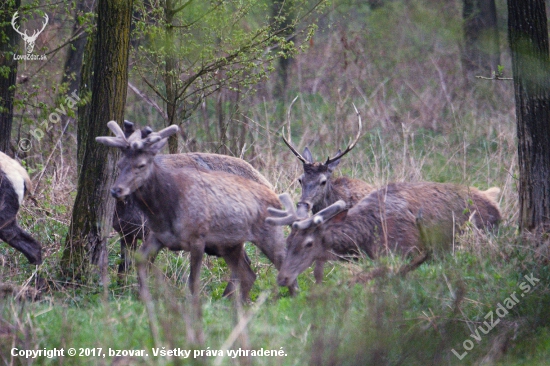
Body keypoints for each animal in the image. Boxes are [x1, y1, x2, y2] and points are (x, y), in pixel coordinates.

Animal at [99, 121, 298, 298]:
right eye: (120, 164)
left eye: (140, 165)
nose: (117, 191)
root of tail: (268, 184)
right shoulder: (127, 233)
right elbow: (123, 267)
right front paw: (123, 292)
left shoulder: (147, 230)